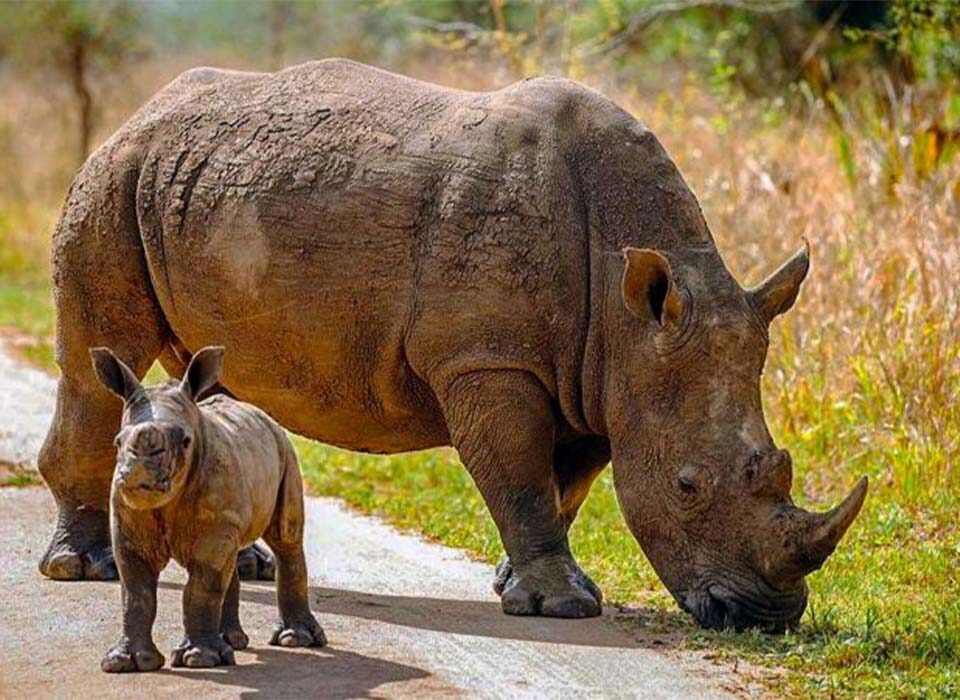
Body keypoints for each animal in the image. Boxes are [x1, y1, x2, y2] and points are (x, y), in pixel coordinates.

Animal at [38, 59, 866, 631]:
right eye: (689, 486)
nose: (765, 617)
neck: (630, 310)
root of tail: (140, 113)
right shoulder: (491, 359)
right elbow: (521, 475)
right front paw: (563, 608)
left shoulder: (600, 374)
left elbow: (565, 486)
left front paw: (516, 586)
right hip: (113, 182)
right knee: (100, 358)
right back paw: (82, 569)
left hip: (184, 191)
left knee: (203, 373)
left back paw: (241, 563)